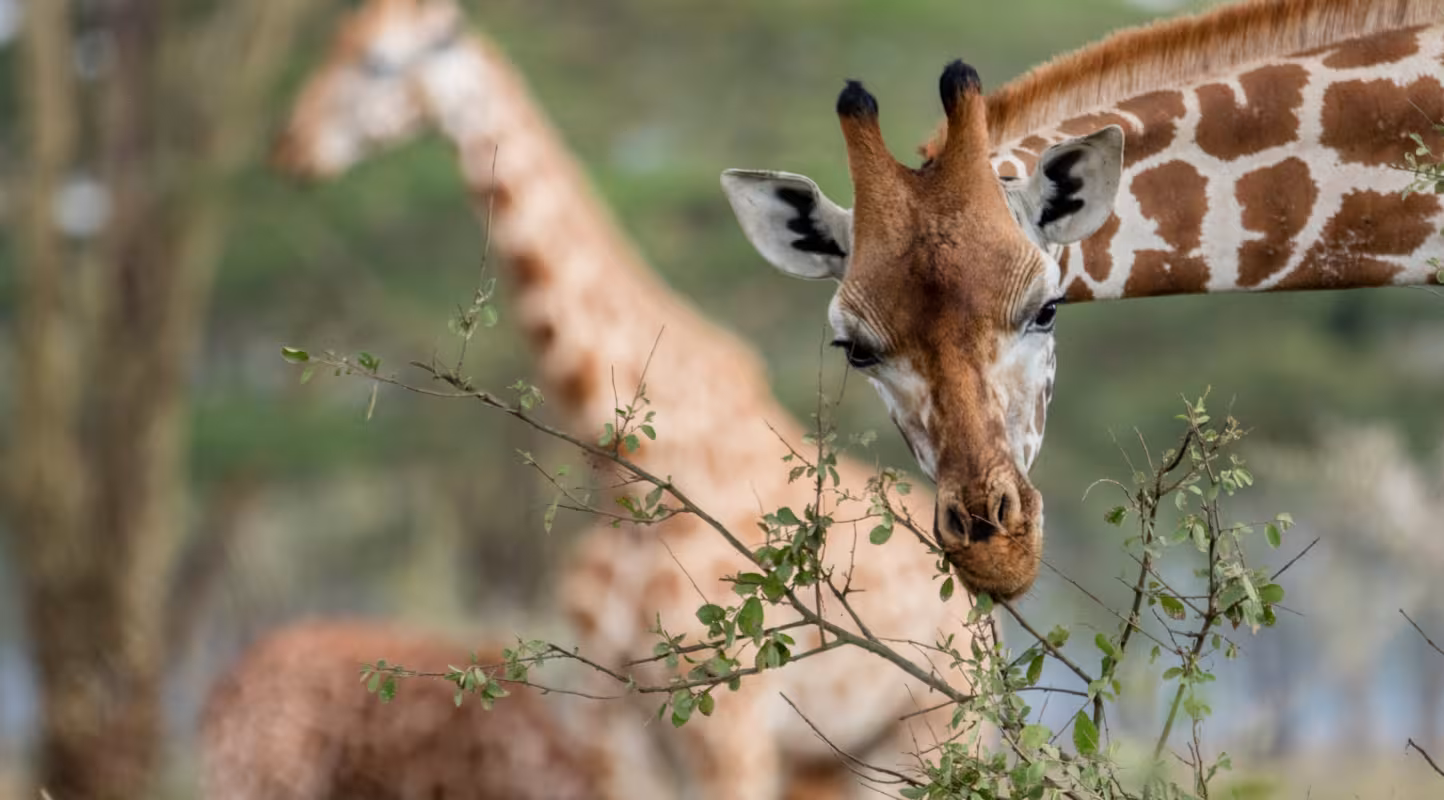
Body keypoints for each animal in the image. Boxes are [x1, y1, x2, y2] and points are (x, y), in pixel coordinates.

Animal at [265, 1, 974, 798]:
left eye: (378, 63)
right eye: (333, 43)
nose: (291, 149)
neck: (630, 469)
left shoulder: (729, 715)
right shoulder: (607, 720)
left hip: (936, 730)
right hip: (828, 757)